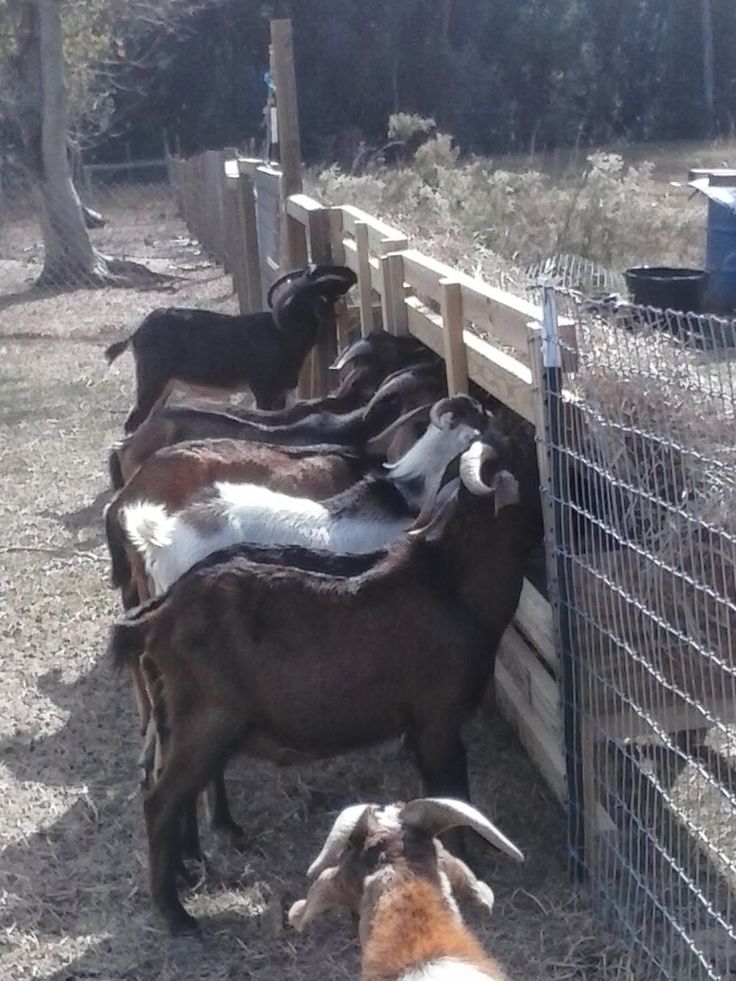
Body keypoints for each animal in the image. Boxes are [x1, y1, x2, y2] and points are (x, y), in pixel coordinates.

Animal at [105, 262, 356, 430]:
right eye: (324, 282)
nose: (351, 273)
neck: (282, 332)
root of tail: (136, 332)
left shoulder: (282, 391)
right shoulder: (263, 390)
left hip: (164, 386)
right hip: (151, 379)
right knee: (134, 421)